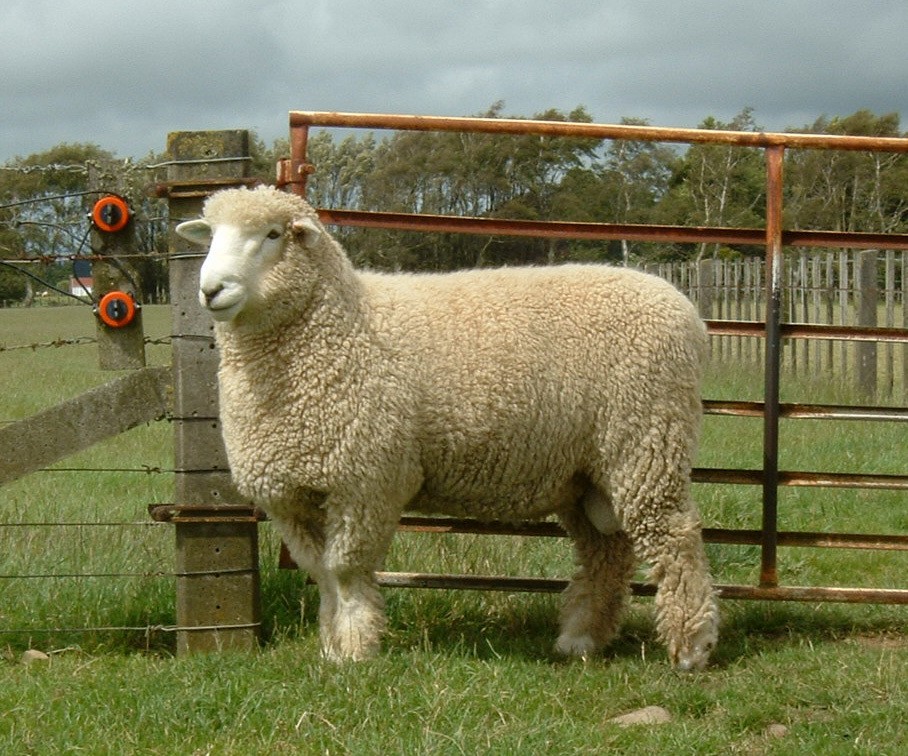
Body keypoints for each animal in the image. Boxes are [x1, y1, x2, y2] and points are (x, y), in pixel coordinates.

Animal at [176, 186, 716, 672]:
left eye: (272, 234)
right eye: (212, 235)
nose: (211, 290)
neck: (335, 325)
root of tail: (686, 310)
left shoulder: (365, 481)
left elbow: (345, 571)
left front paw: (354, 651)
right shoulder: (292, 494)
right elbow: (322, 574)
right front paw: (331, 647)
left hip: (646, 440)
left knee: (674, 538)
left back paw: (691, 648)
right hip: (587, 472)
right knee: (607, 551)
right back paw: (580, 639)